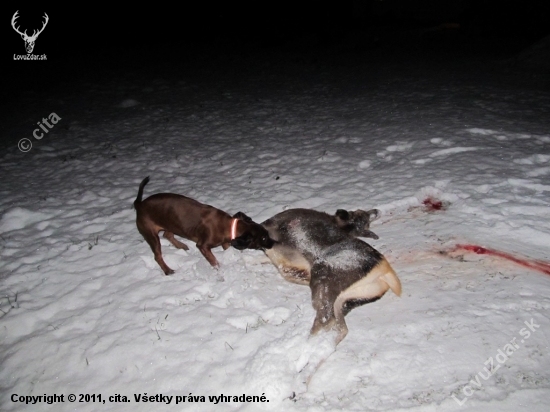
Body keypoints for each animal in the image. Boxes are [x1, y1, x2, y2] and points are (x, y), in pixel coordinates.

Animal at [134, 176, 276, 276]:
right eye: (263, 238)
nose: (274, 243)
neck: (229, 226)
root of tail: (139, 205)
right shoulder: (203, 246)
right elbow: (214, 261)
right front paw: (219, 270)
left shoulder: (225, 242)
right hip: (151, 234)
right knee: (157, 255)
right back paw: (168, 270)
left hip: (171, 224)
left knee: (167, 234)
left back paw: (181, 245)